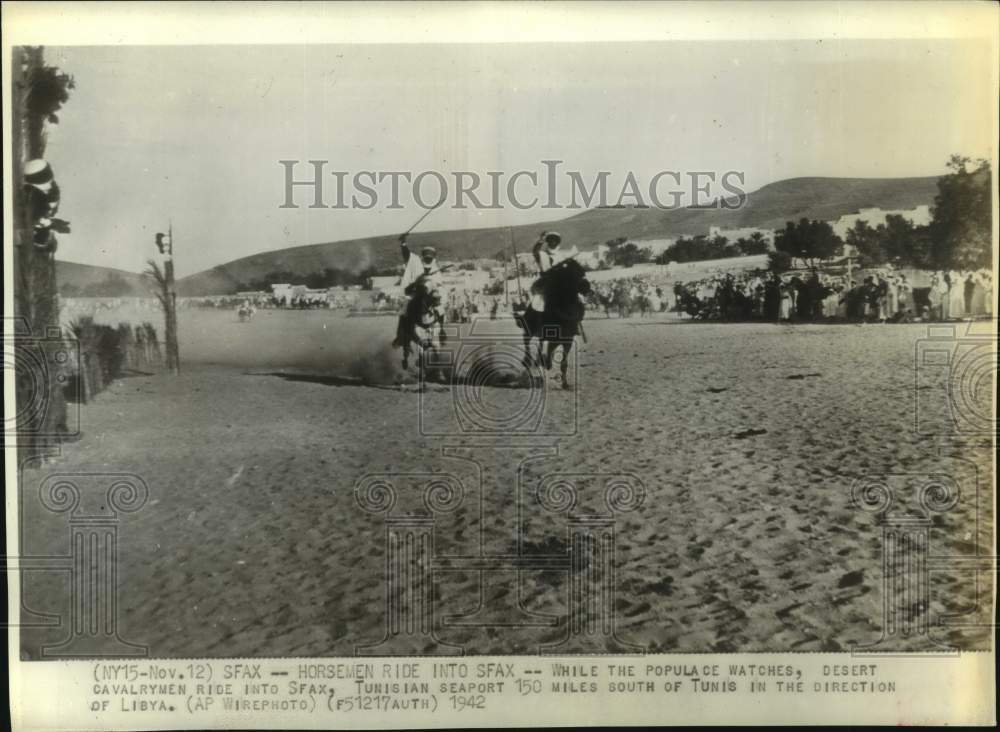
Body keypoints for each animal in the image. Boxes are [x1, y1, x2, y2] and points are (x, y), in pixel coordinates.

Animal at [512, 258, 588, 388]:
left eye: (581, 273)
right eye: (575, 275)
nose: (587, 287)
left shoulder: (567, 341)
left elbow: (563, 362)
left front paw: (565, 384)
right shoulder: (553, 339)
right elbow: (548, 353)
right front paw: (545, 363)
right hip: (529, 331)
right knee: (527, 344)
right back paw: (528, 361)